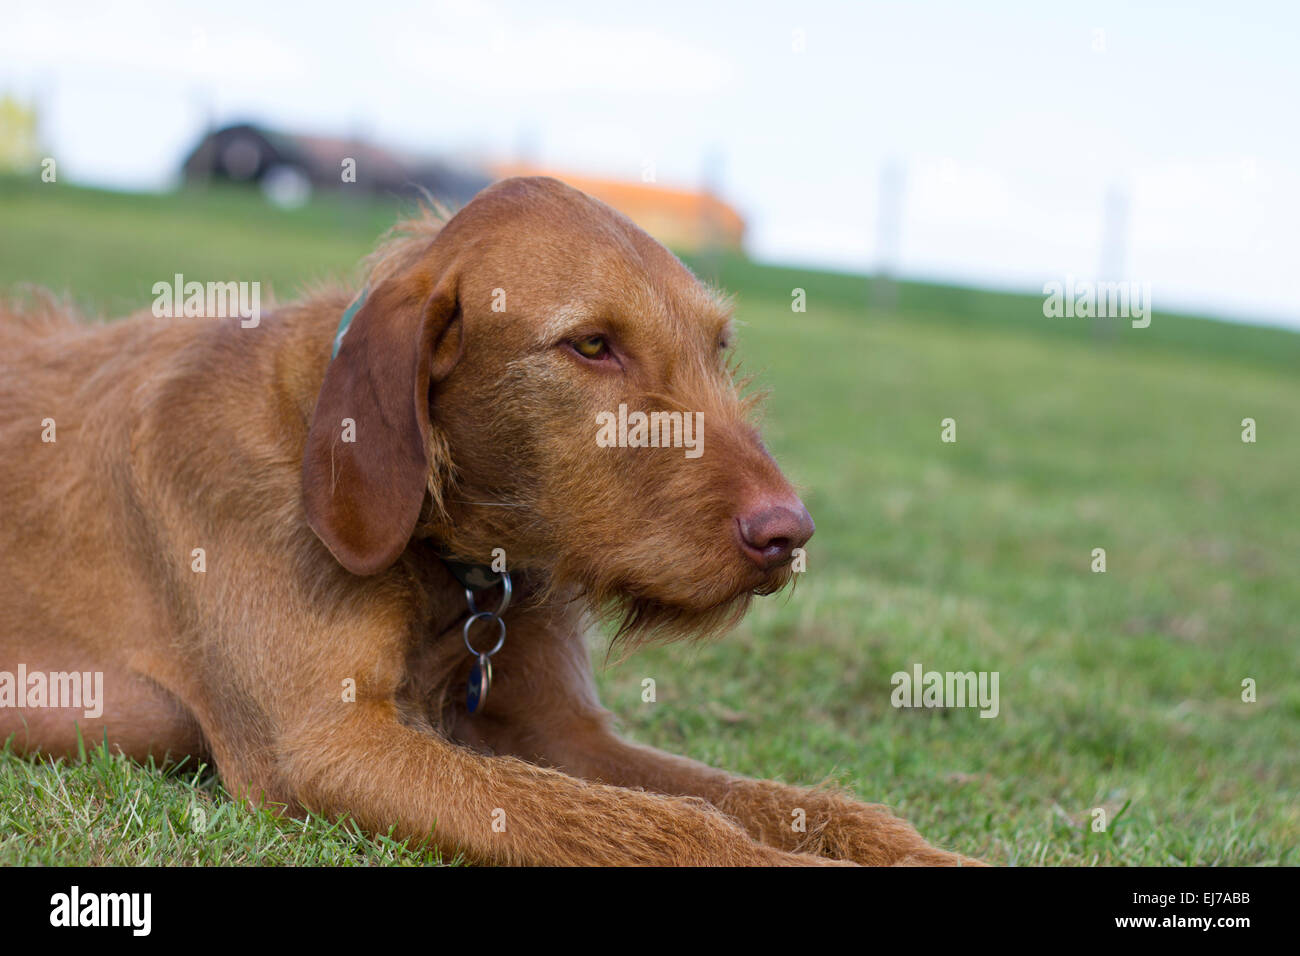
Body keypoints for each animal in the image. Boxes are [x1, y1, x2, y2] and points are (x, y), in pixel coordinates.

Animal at [0, 174, 977, 868]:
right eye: (592, 345)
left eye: (719, 347)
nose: (788, 535)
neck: (453, 562)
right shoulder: (323, 749)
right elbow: (677, 828)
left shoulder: (562, 733)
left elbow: (796, 803)